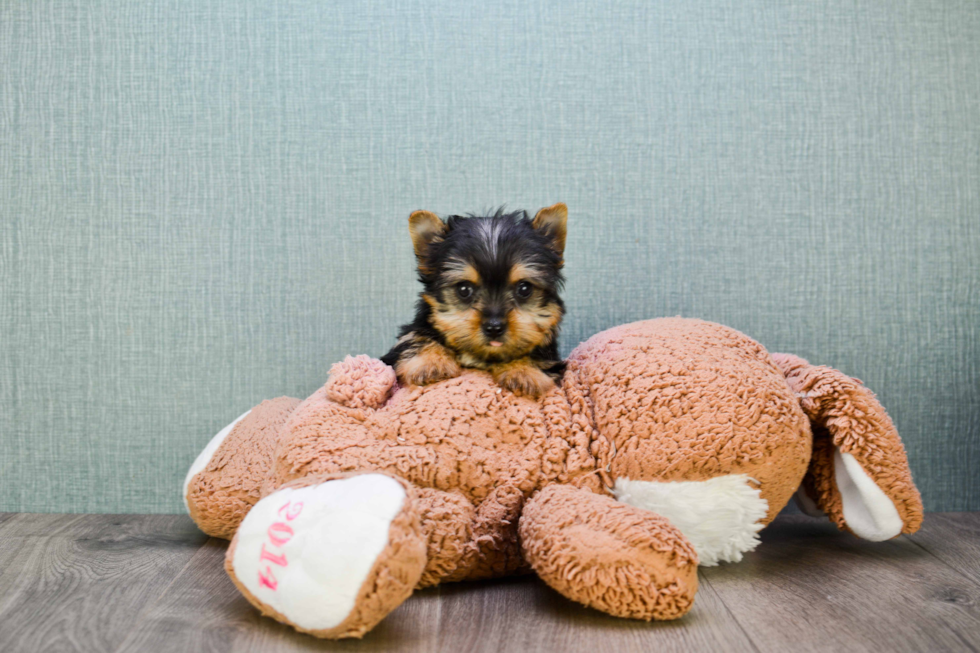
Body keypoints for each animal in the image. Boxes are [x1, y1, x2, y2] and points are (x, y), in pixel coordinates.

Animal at [380, 204, 568, 398]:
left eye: (524, 289)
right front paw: (430, 362)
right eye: (464, 289)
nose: (494, 327)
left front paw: (524, 372)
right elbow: (416, 336)